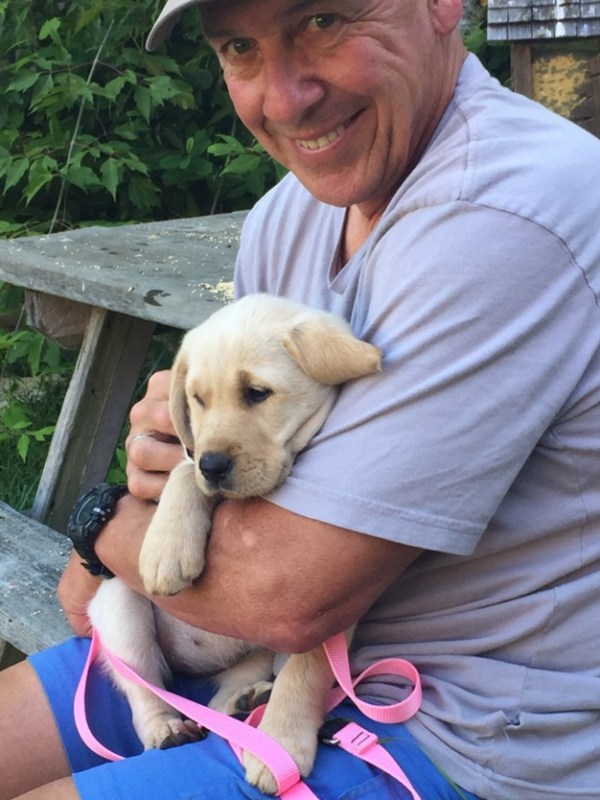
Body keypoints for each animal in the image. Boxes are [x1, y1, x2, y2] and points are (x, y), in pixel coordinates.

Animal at [88, 293, 381, 793]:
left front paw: (280, 744)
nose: (214, 465)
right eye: (197, 399)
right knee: (143, 685)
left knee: (224, 699)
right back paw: (167, 726)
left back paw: (246, 704)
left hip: (261, 650)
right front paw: (167, 547)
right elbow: (182, 470)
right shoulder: (189, 450)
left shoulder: (331, 609)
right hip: (119, 610)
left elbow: (306, 673)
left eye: (257, 393)